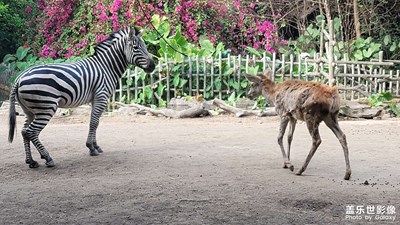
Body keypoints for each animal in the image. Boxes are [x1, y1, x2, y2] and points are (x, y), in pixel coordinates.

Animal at [8, 27, 155, 168]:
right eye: (136, 47)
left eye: (145, 46)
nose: (153, 66)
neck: (106, 67)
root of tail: (19, 78)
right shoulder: (101, 96)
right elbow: (94, 122)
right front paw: (91, 148)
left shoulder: (95, 99)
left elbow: (95, 122)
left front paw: (96, 146)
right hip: (46, 107)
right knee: (31, 132)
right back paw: (47, 158)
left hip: (30, 110)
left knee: (24, 131)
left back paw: (31, 161)